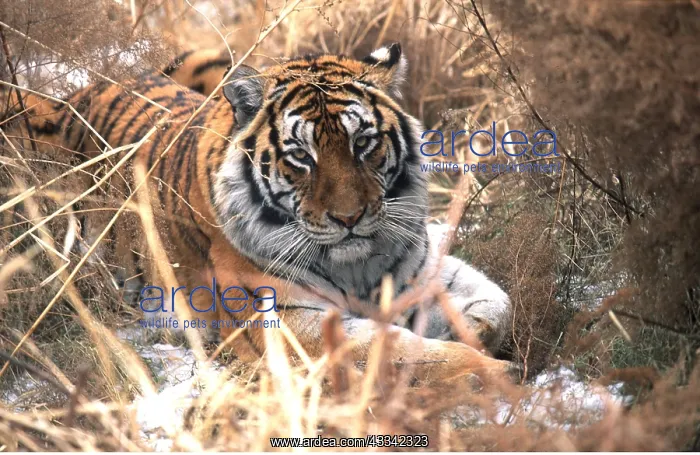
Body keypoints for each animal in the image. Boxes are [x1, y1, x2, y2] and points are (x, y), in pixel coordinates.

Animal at [1, 43, 515, 385]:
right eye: (301, 156)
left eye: (363, 143)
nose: (349, 218)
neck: (356, 266)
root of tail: (69, 98)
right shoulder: (285, 321)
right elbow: (396, 351)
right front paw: (492, 372)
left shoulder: (419, 263)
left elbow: (496, 299)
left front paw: (477, 330)